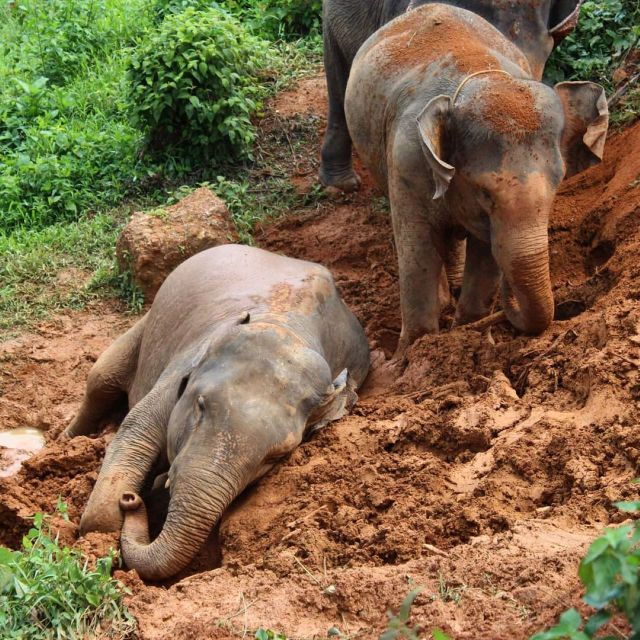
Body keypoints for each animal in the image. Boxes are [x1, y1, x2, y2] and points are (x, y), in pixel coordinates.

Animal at [65, 244, 370, 580]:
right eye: (200, 406)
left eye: (276, 456)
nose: (131, 500)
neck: (284, 325)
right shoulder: (183, 363)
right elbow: (136, 431)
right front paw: (100, 540)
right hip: (147, 322)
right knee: (101, 378)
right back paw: (67, 439)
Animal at [344, 3, 608, 351]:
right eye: (484, 194)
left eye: (556, 189)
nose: (508, 310)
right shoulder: (407, 159)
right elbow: (417, 250)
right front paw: (414, 350)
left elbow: (486, 255)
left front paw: (468, 332)